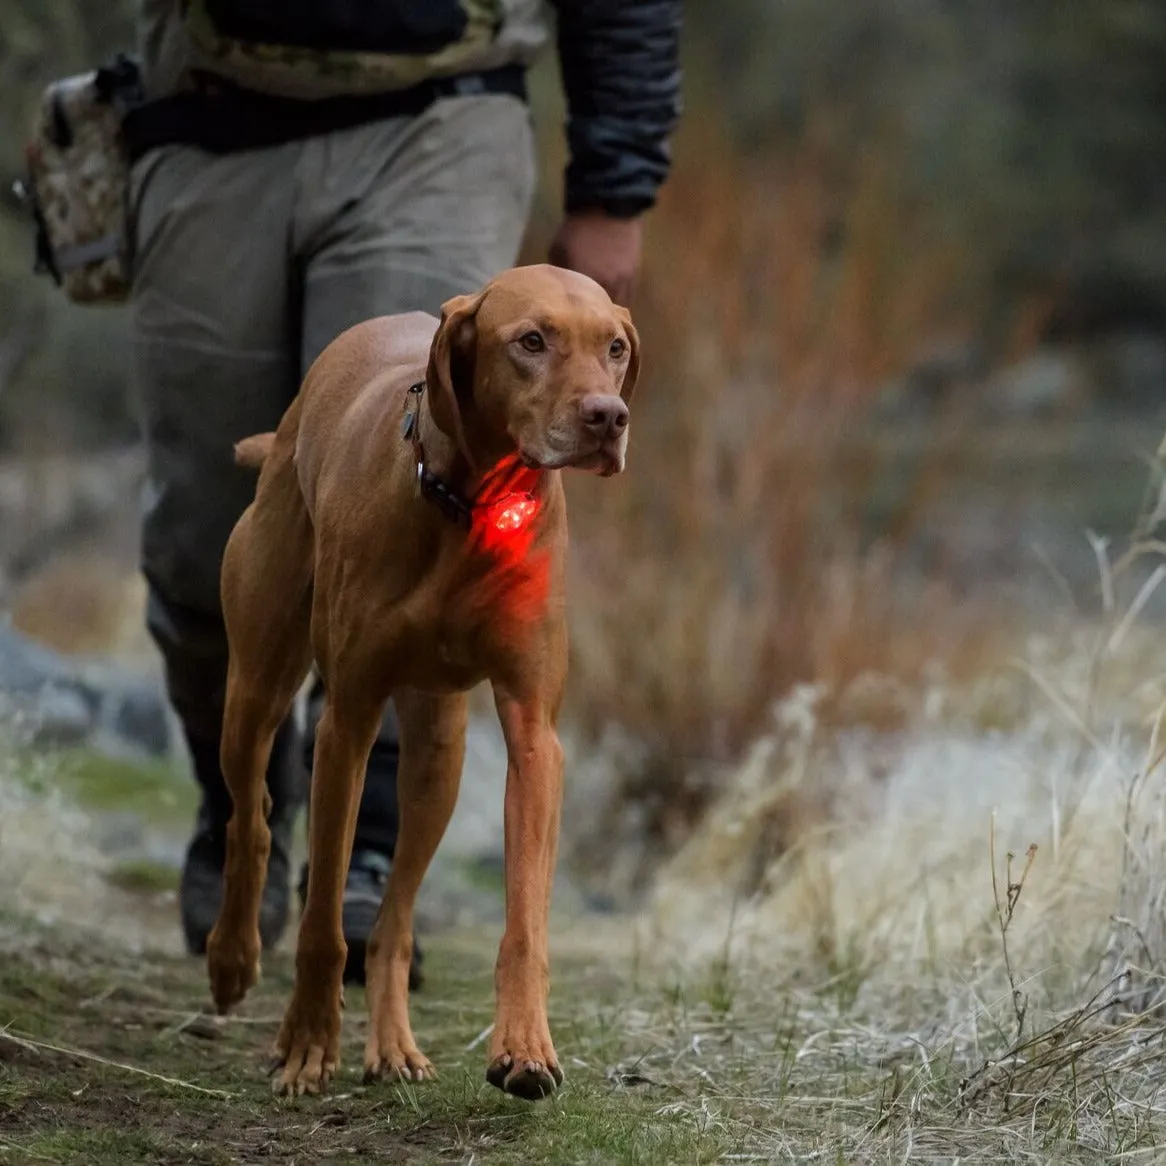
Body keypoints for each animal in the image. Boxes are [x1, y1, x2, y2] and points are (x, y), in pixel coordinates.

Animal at [200, 264, 638, 1100]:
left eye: (616, 347)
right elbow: (321, 924)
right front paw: (307, 1045)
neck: (471, 504)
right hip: (255, 685)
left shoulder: (535, 735)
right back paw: (232, 957)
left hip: (439, 755)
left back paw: (394, 1044)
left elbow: (524, 921)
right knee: (254, 817)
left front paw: (525, 1048)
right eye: (531, 341)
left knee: (395, 915)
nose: (609, 417)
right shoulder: (348, 721)